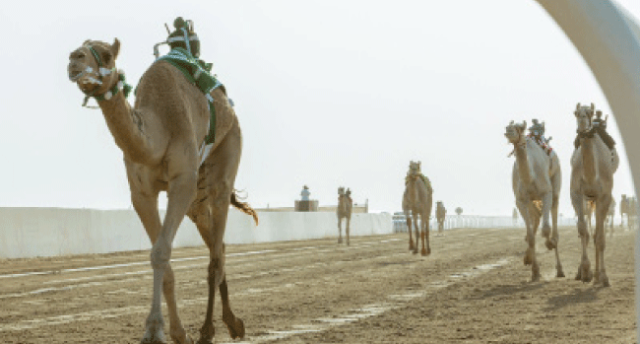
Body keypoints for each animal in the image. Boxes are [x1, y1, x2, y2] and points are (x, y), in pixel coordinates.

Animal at [69, 36, 258, 342]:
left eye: (107, 55)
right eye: (79, 49)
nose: (74, 59)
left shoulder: (181, 181)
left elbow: (161, 252)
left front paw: (154, 330)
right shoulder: (141, 193)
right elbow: (162, 259)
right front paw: (177, 333)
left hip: (228, 152)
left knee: (216, 253)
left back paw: (211, 329)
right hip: (197, 200)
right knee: (219, 246)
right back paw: (231, 323)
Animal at [508, 121, 564, 282]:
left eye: (520, 128)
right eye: (508, 125)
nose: (508, 130)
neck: (530, 177)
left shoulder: (546, 193)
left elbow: (546, 229)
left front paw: (550, 243)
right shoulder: (521, 201)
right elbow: (531, 236)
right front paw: (535, 272)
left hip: (556, 183)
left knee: (553, 212)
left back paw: (560, 269)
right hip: (531, 201)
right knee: (536, 220)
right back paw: (528, 257)